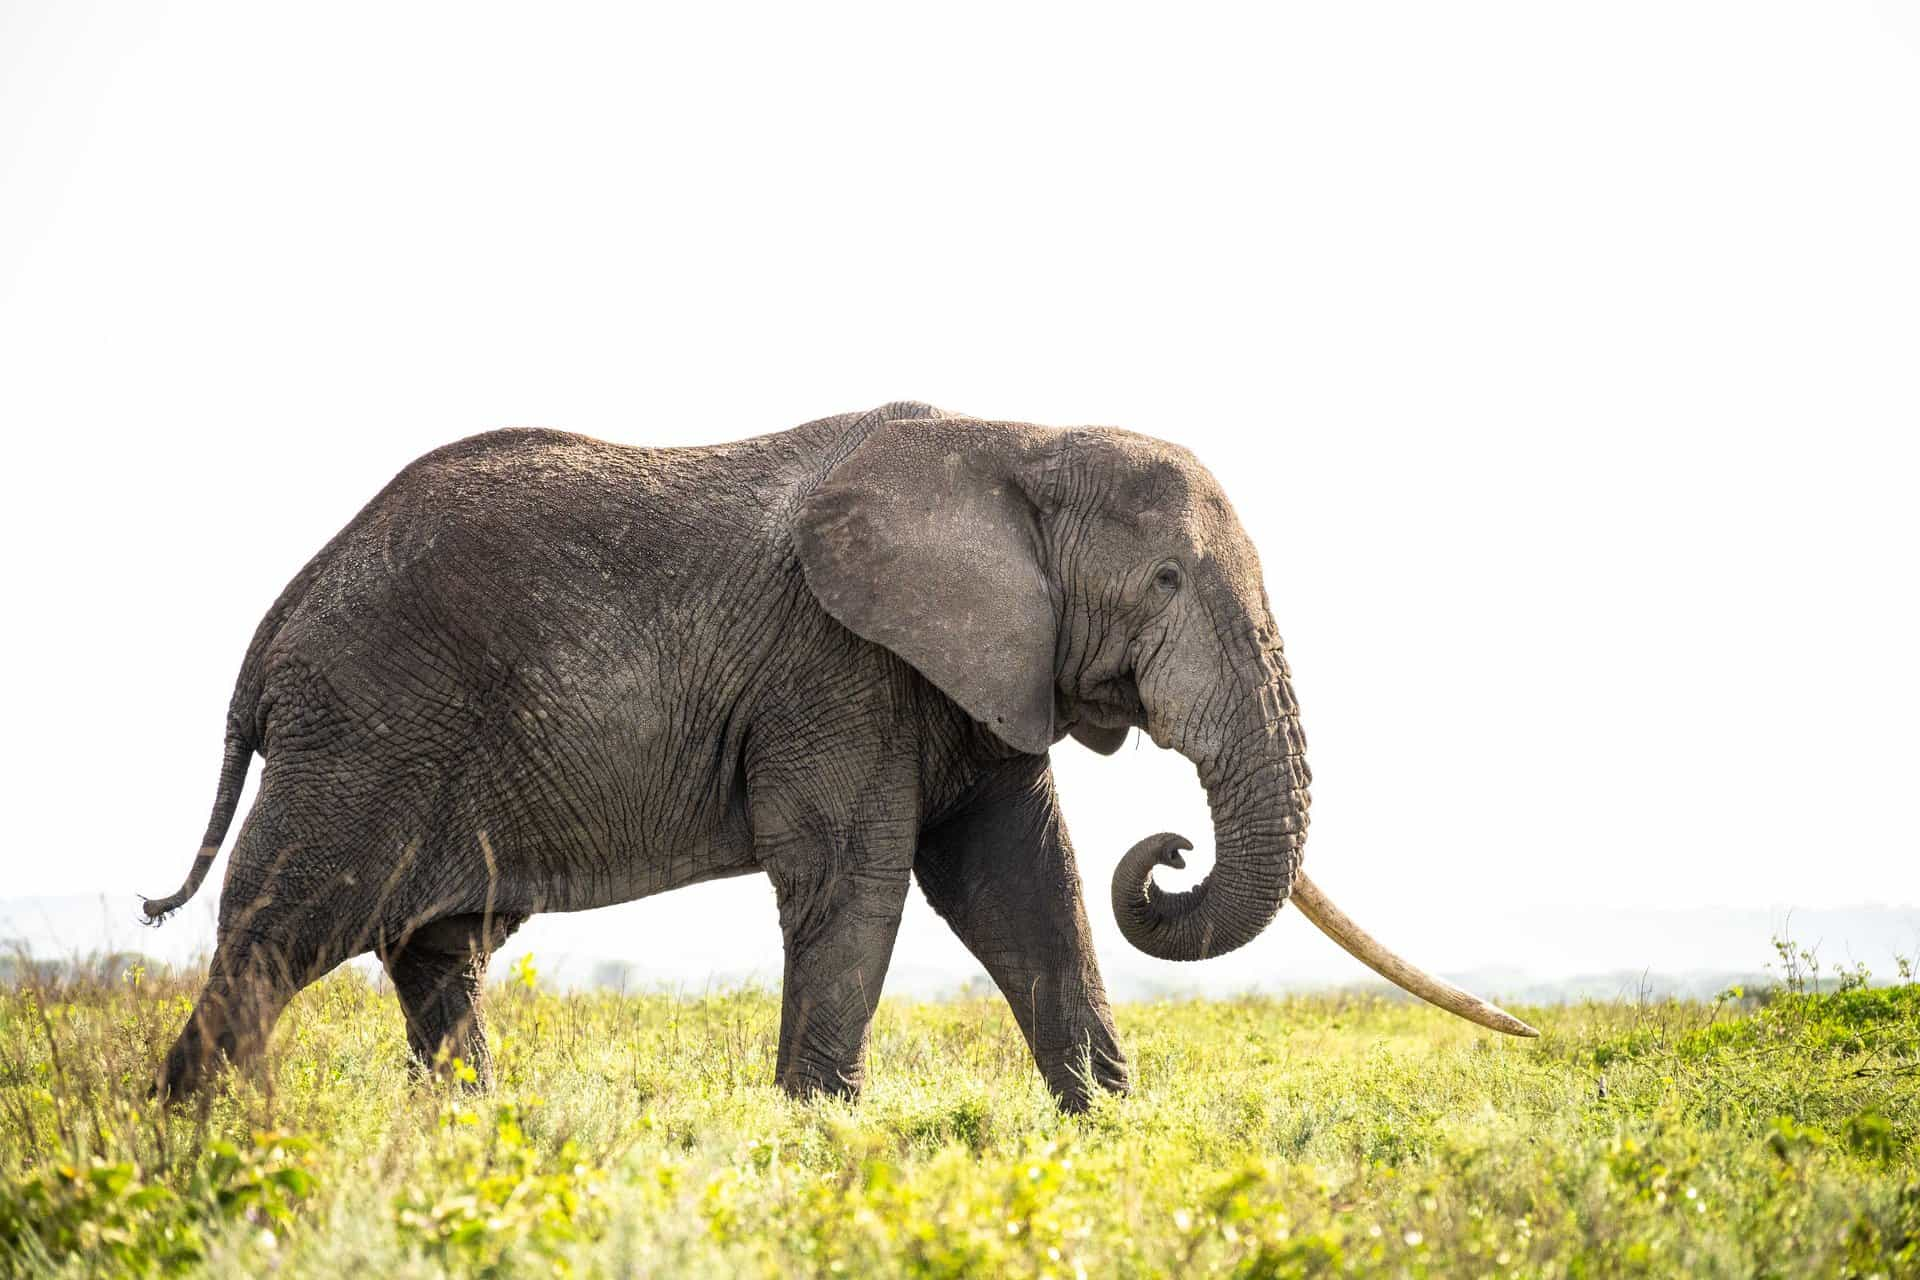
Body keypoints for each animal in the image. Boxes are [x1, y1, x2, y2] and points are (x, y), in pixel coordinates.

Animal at [142, 401, 1536, 1113]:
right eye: (1166, 582)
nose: (1173, 848)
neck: (1021, 439)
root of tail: (272, 630)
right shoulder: (837, 663)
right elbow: (855, 878)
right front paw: (818, 1134)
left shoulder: (971, 667)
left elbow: (1023, 881)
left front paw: (1110, 1121)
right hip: (368, 728)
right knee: (283, 926)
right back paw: (201, 1132)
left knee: (439, 946)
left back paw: (470, 1131)